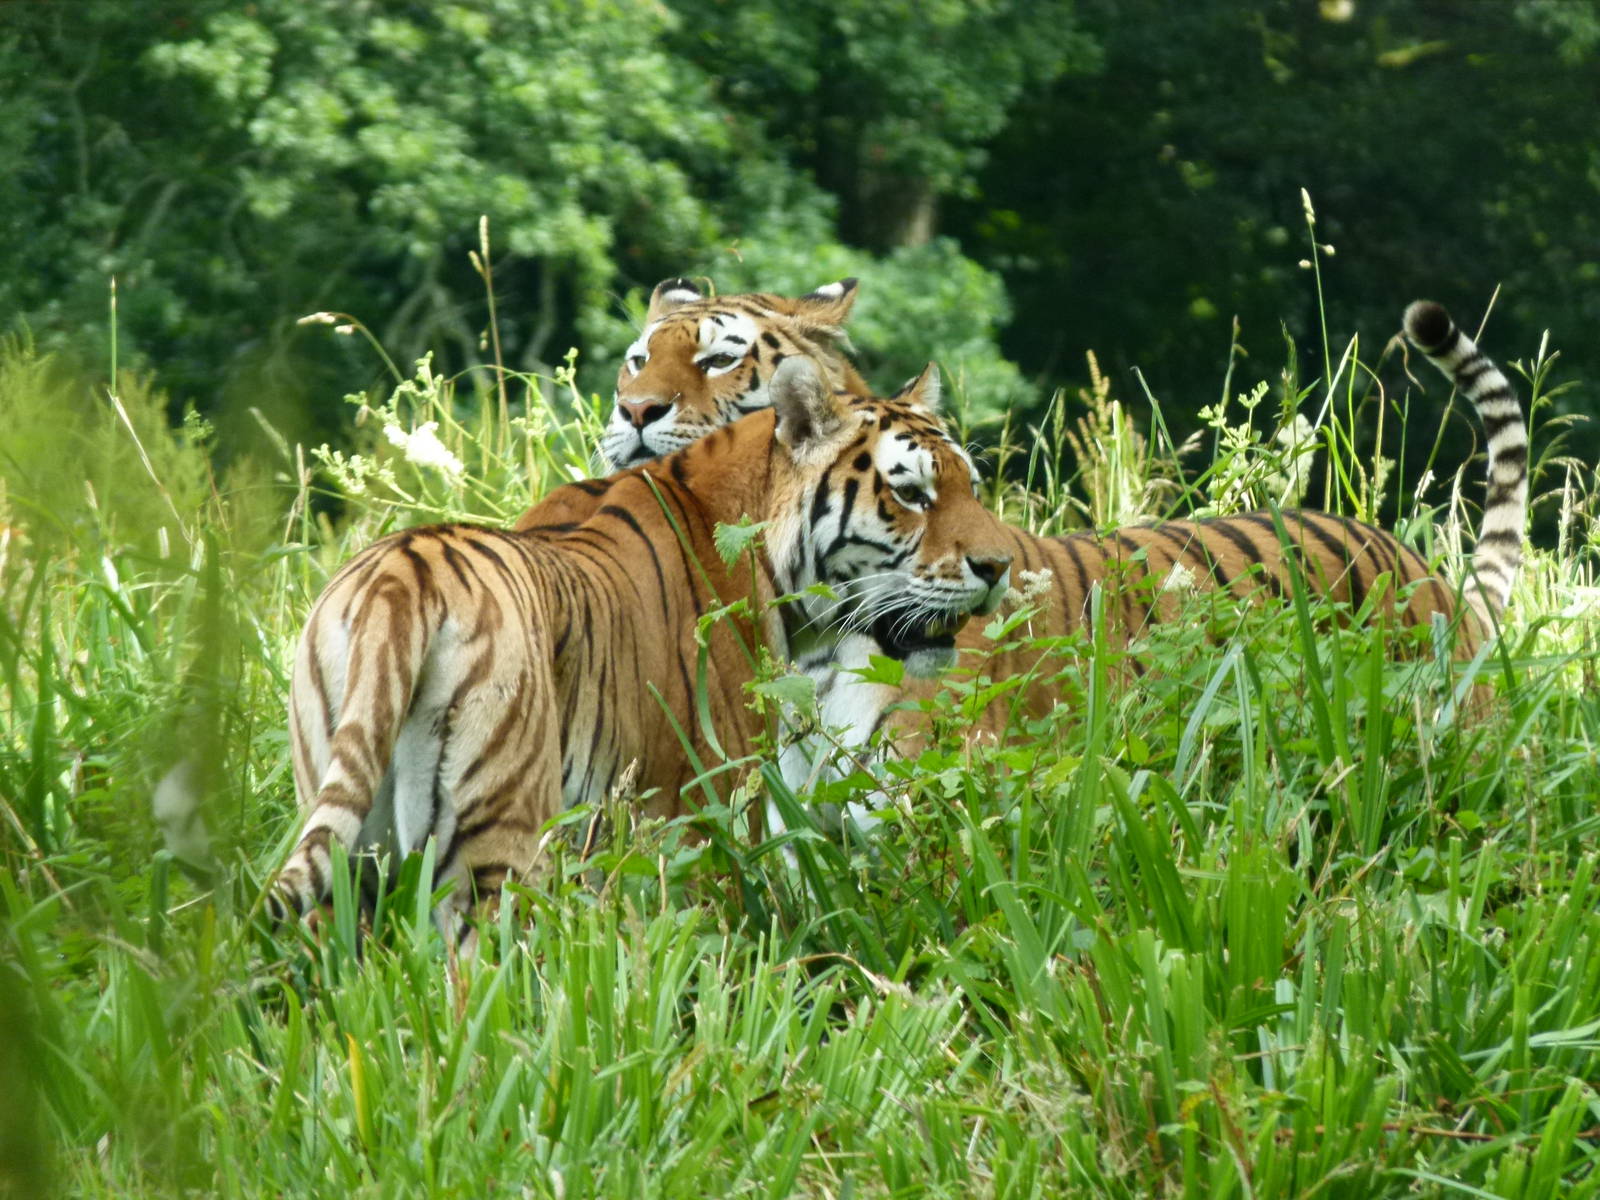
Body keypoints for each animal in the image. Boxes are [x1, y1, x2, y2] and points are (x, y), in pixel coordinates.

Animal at [268, 356, 1013, 928]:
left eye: (972, 487)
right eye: (910, 494)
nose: (1000, 566)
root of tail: (403, 573)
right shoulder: (706, 814)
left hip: (351, 847)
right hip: (493, 845)